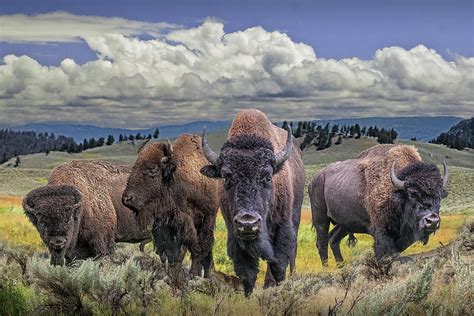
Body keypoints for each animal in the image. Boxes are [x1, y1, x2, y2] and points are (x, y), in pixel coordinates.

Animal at [122, 135, 218, 278]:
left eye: (153, 170)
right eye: (135, 166)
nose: (127, 199)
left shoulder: (206, 217)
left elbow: (198, 246)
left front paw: (193, 274)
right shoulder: (169, 222)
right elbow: (171, 249)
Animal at [199, 109, 304, 296]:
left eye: (267, 176)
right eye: (226, 176)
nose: (248, 223)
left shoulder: (282, 227)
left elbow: (278, 263)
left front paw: (275, 285)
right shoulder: (234, 231)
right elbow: (246, 270)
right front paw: (248, 293)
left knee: (292, 252)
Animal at [308, 144, 448, 266]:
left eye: (439, 195)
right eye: (412, 194)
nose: (432, 221)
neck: (396, 192)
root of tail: (314, 179)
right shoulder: (382, 232)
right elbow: (382, 253)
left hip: (345, 224)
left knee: (333, 240)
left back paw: (341, 266)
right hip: (320, 218)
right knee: (322, 242)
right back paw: (327, 268)